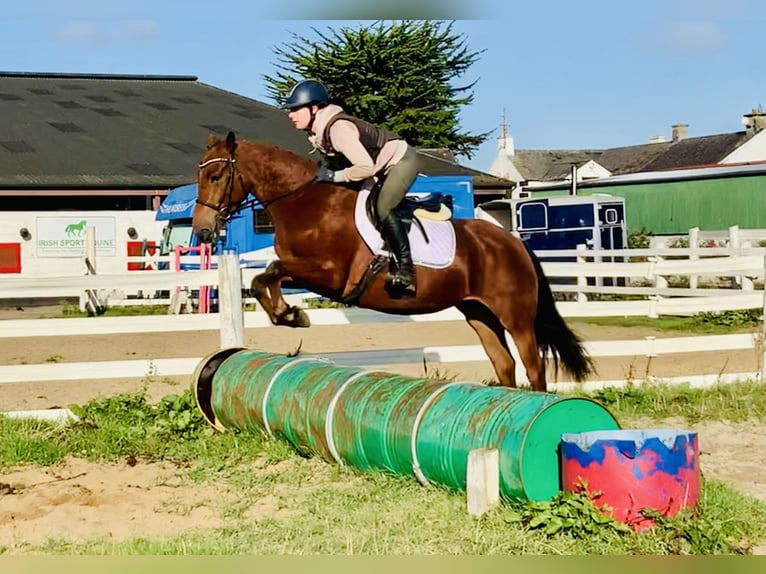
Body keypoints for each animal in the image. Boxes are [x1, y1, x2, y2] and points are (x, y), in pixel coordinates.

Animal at [192, 132, 592, 394]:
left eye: (215, 176)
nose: (202, 230)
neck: (305, 202)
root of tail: (513, 242)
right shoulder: (302, 270)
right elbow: (264, 278)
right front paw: (288, 314)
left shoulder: (330, 275)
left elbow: (271, 272)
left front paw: (291, 315)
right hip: (479, 312)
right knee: (504, 363)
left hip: (516, 316)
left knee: (533, 367)